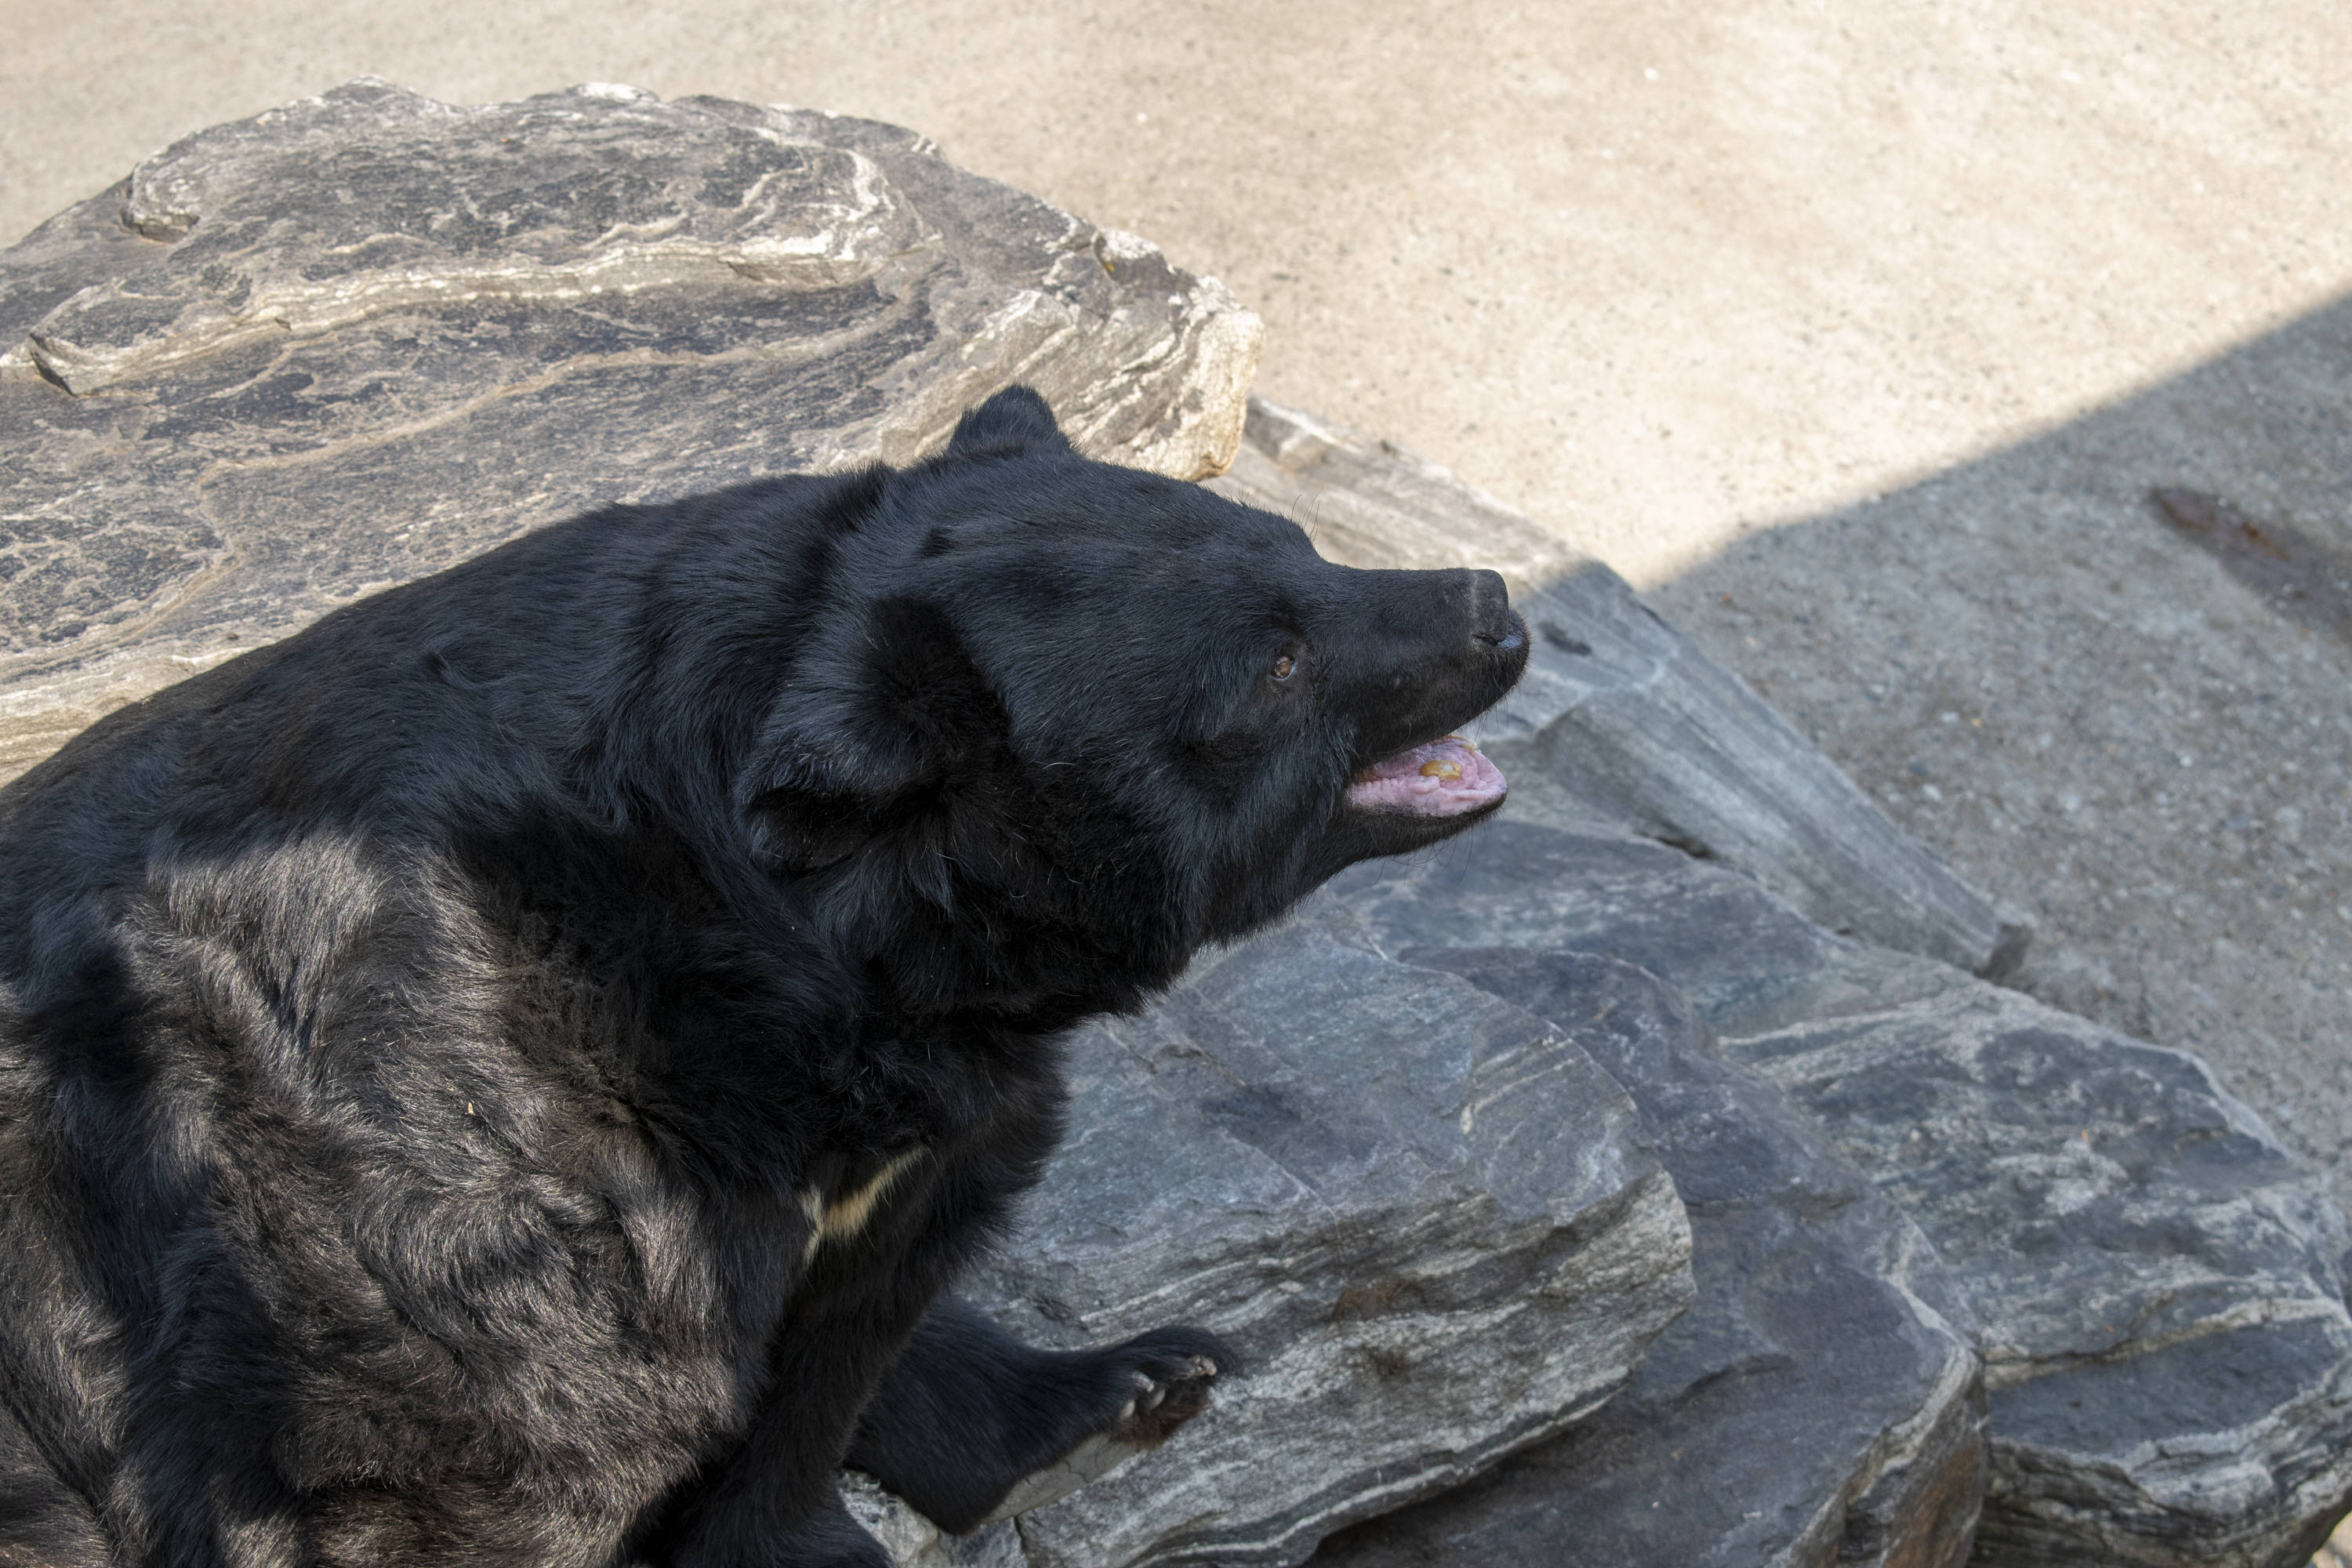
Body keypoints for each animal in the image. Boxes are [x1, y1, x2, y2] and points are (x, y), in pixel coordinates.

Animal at [0, 387, 1528, 1567]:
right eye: (1277, 665)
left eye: (1305, 548)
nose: (1494, 609)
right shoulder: (445, 1190)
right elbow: (515, 1441)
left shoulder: (923, 1119)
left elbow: (846, 1339)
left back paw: (1125, 1390)